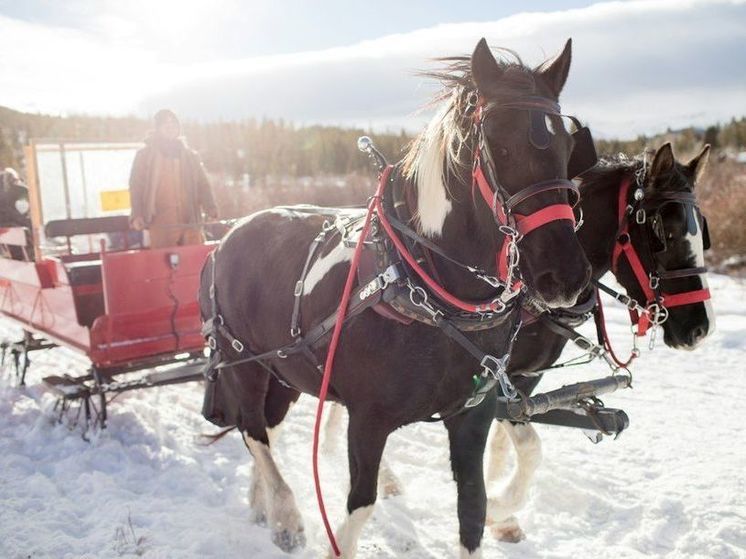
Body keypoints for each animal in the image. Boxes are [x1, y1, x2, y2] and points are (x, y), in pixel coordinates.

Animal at [199, 37, 592, 556]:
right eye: (499, 144)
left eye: (568, 146)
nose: (564, 275)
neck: (429, 288)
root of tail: (228, 234)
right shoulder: (368, 420)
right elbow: (359, 506)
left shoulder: (473, 416)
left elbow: (474, 509)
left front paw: (496, 515)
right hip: (242, 362)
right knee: (253, 430)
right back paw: (285, 513)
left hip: (284, 371)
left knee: (267, 425)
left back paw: (260, 500)